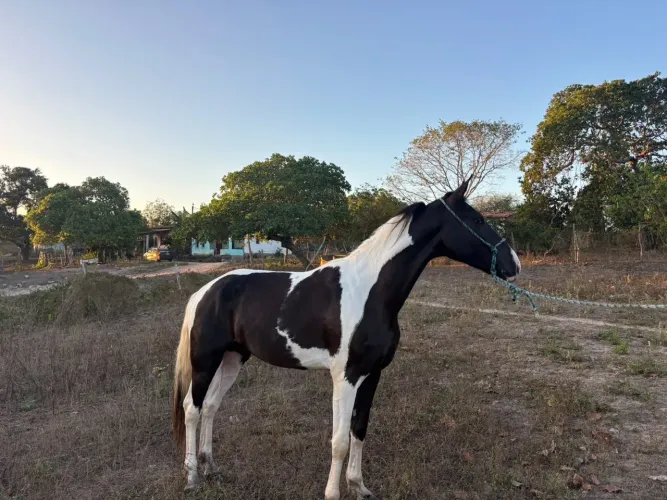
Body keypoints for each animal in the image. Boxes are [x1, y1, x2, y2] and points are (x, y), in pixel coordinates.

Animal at [171, 177, 521, 499]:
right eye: (477, 220)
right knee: (192, 408)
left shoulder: (373, 374)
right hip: (205, 361)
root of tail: (205, 292)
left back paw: (211, 466)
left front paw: (359, 486)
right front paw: (333, 492)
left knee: (211, 406)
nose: (514, 263)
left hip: (233, 358)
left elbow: (359, 429)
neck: (370, 291)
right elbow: (339, 441)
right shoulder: (346, 377)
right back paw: (192, 477)